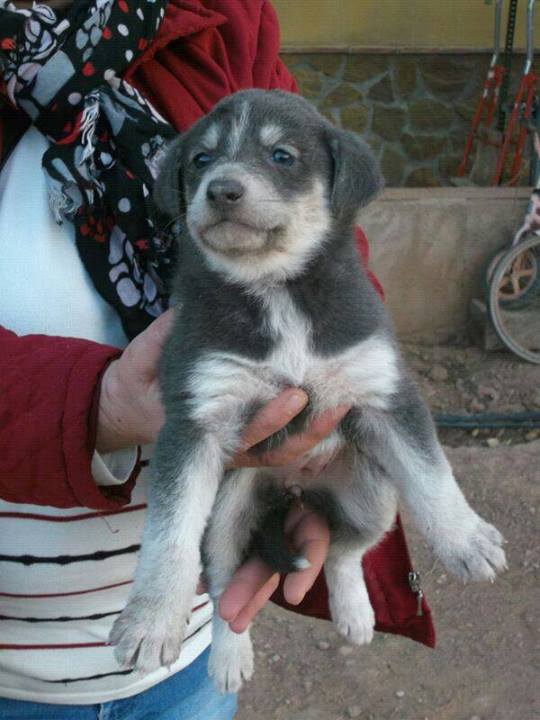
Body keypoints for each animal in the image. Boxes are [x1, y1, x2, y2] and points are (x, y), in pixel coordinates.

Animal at [108, 90, 506, 692]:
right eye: (201, 159)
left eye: (281, 156)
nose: (221, 189)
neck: (276, 289)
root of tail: (294, 487)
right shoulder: (195, 418)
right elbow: (168, 532)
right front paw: (151, 620)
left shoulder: (385, 393)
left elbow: (433, 475)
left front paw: (468, 540)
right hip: (227, 513)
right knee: (224, 588)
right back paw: (230, 659)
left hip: (373, 495)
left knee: (344, 552)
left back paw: (356, 613)